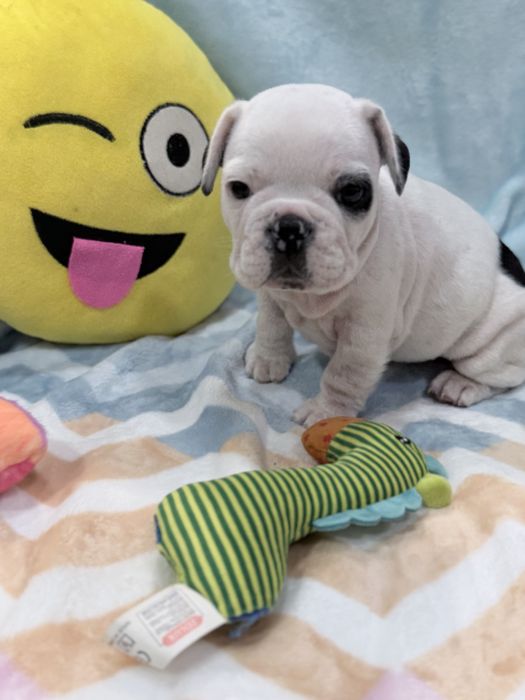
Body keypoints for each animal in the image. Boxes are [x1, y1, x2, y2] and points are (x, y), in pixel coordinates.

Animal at [202, 84, 525, 426]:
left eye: (353, 192)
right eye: (238, 188)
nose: (289, 227)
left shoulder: (365, 334)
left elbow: (343, 374)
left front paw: (326, 412)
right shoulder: (270, 292)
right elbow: (270, 323)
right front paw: (268, 358)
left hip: (493, 342)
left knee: (503, 375)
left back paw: (460, 384)